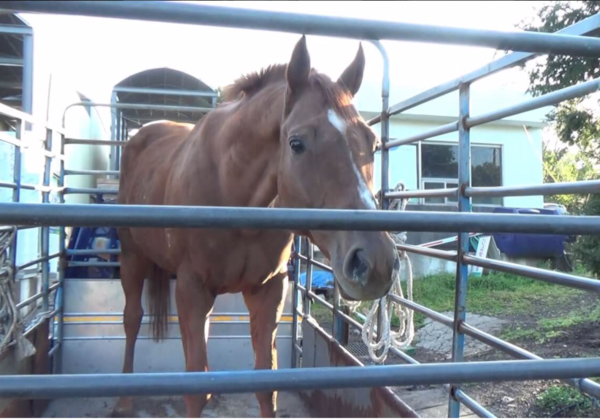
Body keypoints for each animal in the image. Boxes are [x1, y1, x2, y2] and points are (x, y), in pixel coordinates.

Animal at [115, 37, 400, 418]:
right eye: (296, 143)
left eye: (372, 142)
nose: (375, 263)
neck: (231, 189)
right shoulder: (191, 289)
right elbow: (194, 390)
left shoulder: (268, 290)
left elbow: (266, 384)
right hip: (132, 257)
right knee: (132, 318)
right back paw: (123, 399)